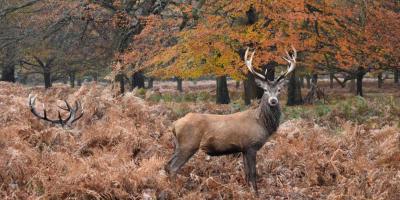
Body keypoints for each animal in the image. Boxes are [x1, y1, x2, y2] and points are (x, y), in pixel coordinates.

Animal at [165, 46, 296, 193]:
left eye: (279, 90)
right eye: (265, 90)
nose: (273, 101)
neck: (261, 123)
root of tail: (175, 124)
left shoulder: (243, 148)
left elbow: (246, 173)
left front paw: (247, 190)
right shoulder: (251, 145)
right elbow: (253, 173)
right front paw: (255, 193)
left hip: (178, 145)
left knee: (167, 165)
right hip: (188, 144)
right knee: (173, 167)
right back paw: (175, 190)